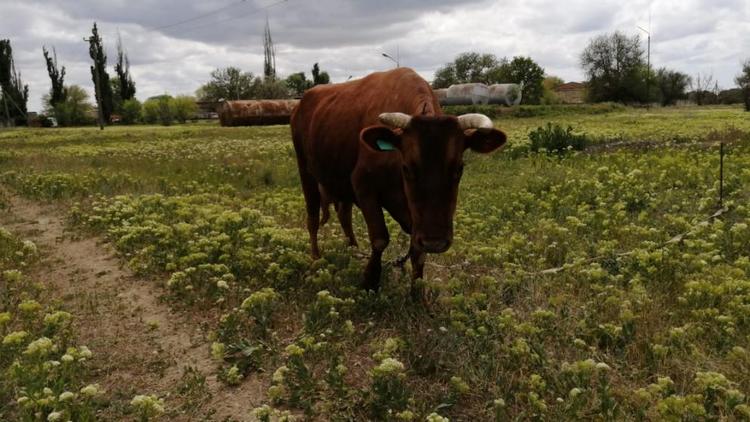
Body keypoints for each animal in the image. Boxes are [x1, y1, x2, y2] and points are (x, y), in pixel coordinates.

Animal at [290, 69, 508, 294]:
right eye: (406, 167)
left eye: (459, 168)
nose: (435, 242)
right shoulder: (363, 186)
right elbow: (379, 239)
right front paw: (370, 281)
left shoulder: (415, 218)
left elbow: (417, 251)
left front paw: (417, 292)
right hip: (306, 171)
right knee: (313, 219)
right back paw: (316, 258)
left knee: (344, 215)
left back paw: (353, 251)